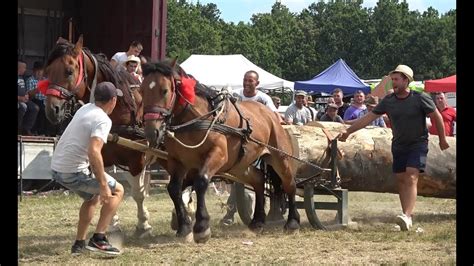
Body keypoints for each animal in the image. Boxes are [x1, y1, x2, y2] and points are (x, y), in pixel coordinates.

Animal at [42, 35, 154, 237]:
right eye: (47, 71)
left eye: (69, 71)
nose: (52, 110)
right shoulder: (104, 156)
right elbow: (107, 184)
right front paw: (113, 223)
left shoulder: (137, 157)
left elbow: (138, 193)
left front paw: (144, 224)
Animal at [139, 59, 300, 243]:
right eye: (141, 90)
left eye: (165, 90)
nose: (152, 132)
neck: (196, 118)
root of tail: (271, 114)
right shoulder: (177, 160)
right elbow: (174, 189)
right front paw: (184, 227)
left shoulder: (217, 155)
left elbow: (201, 182)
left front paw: (202, 227)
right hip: (239, 166)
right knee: (259, 180)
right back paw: (257, 221)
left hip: (280, 158)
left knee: (289, 184)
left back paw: (292, 222)